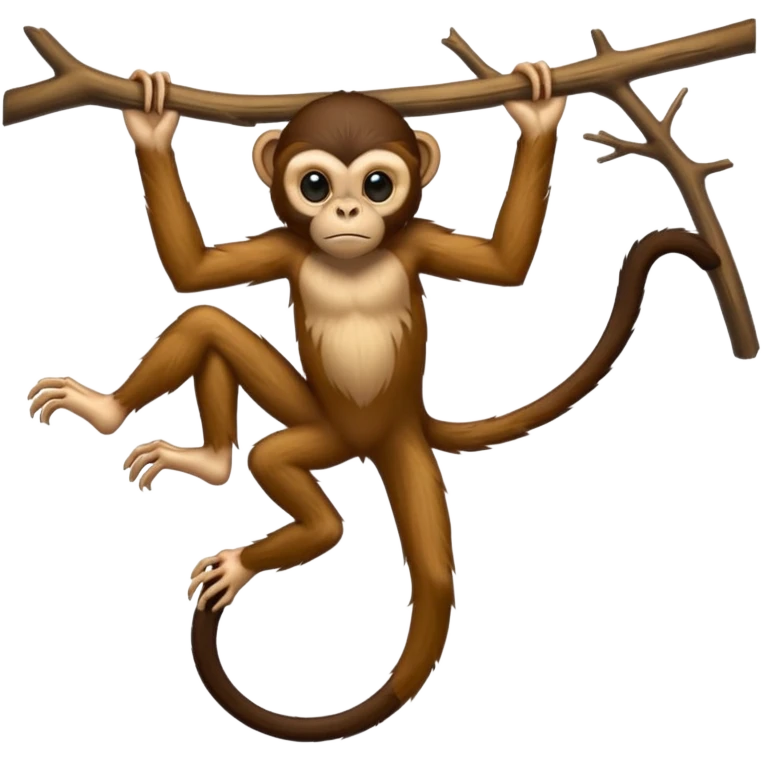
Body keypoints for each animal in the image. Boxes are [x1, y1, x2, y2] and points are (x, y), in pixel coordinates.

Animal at [26, 61, 719, 742]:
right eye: (314, 185)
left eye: (379, 183)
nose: (348, 208)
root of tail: (400, 425)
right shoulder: (288, 245)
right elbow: (192, 275)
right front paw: (150, 118)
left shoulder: (416, 240)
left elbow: (507, 266)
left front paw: (539, 110)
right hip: (318, 418)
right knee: (209, 329)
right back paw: (190, 449)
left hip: (358, 441)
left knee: (316, 493)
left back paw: (254, 532)